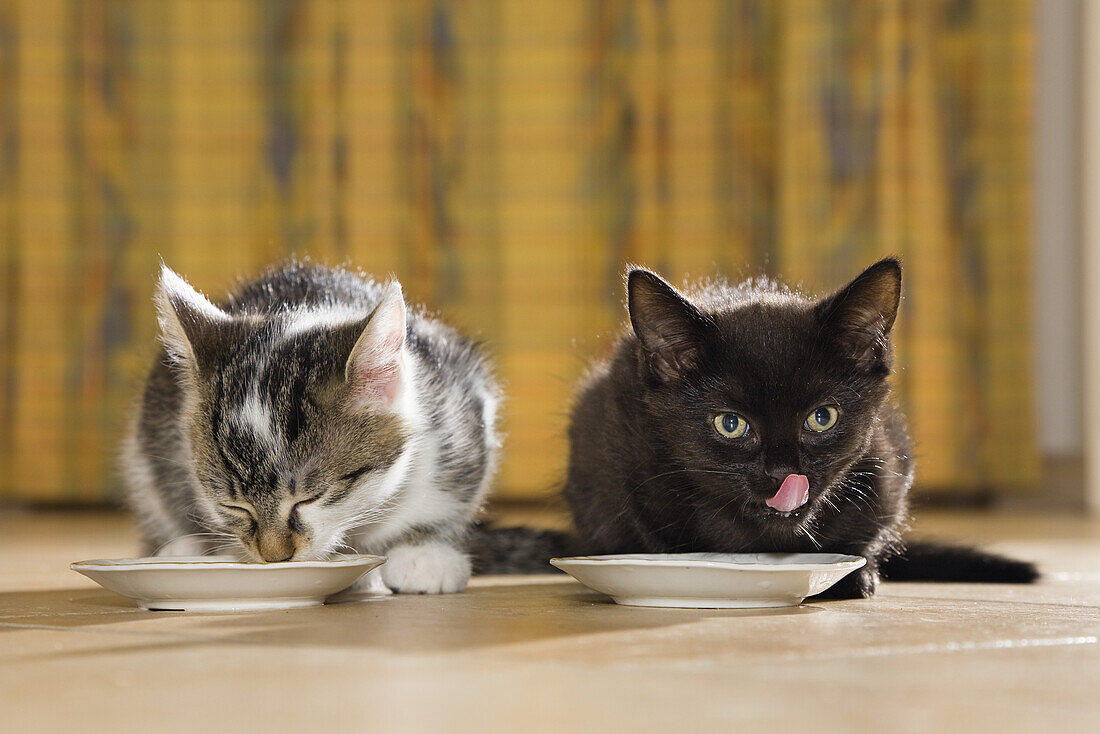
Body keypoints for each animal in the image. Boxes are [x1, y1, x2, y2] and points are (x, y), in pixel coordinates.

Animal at [477, 258, 1034, 598]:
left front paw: (856, 576)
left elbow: (868, 535)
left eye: (821, 418)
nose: (785, 473)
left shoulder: (887, 466)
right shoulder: (617, 446)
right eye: (731, 424)